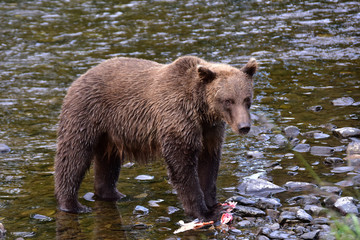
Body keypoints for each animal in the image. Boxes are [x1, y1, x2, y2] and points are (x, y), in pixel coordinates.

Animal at [54, 56, 258, 221]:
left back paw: (114, 195)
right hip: (86, 114)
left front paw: (214, 205)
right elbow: (182, 163)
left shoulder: (210, 131)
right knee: (73, 156)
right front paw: (202, 211)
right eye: (228, 100)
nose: (244, 126)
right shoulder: (178, 117)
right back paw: (73, 205)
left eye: (247, 99)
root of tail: (79, 78)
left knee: (108, 162)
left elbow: (209, 164)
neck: (201, 108)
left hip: (110, 133)